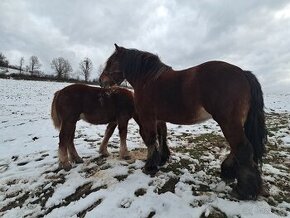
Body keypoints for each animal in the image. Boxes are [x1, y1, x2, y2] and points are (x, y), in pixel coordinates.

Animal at [99, 43, 268, 199]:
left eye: (111, 62)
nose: (101, 81)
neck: (148, 80)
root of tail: (243, 73)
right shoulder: (159, 118)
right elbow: (162, 135)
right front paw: (162, 159)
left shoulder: (148, 117)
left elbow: (151, 139)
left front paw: (150, 166)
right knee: (237, 148)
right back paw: (228, 172)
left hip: (228, 122)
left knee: (243, 148)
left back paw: (244, 191)